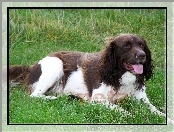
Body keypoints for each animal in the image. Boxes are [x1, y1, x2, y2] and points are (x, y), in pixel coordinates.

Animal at [8, 33, 173, 124]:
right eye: (126, 46)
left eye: (141, 45)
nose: (142, 55)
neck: (119, 75)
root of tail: (31, 66)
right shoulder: (98, 100)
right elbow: (124, 111)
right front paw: (137, 117)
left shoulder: (141, 98)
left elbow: (156, 111)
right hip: (56, 65)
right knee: (35, 95)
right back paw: (57, 99)